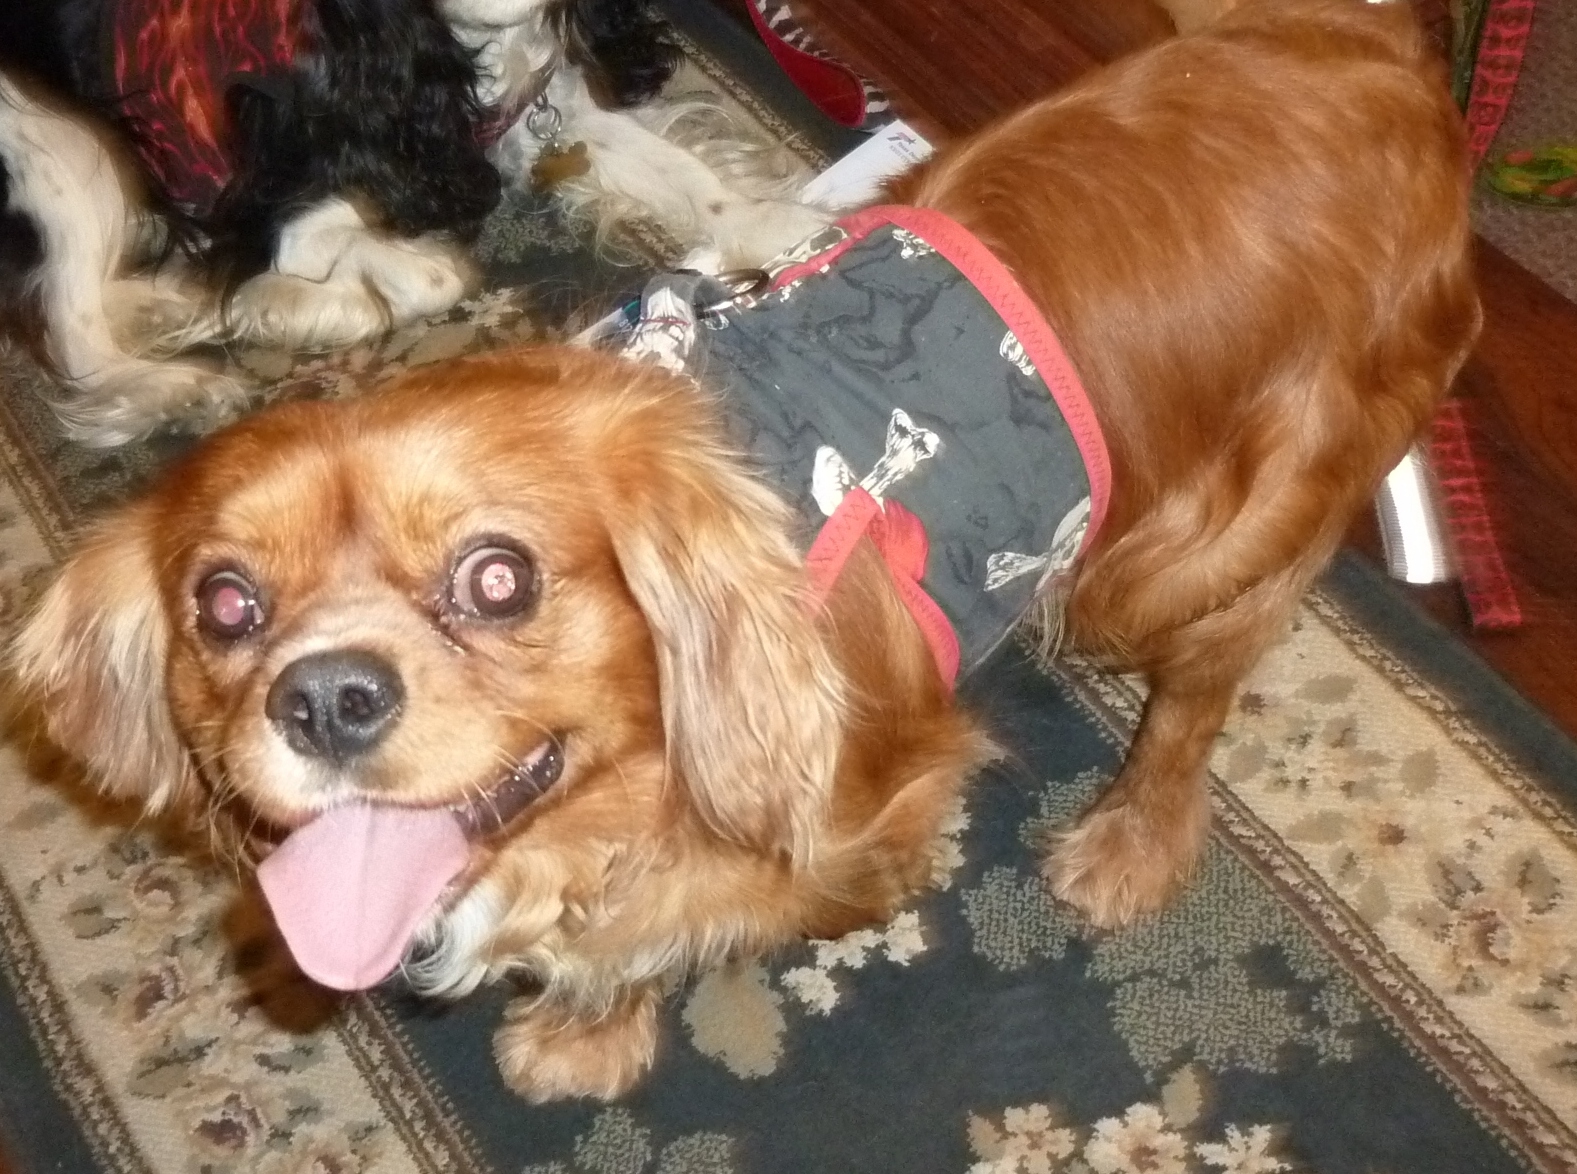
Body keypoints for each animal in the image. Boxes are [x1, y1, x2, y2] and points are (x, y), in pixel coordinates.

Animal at [0, 0, 829, 446]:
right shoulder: (280, 208)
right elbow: (435, 274)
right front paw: (277, 303)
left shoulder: (544, 111)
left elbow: (678, 169)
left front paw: (781, 222)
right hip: (55, 134)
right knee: (73, 328)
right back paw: (181, 385)